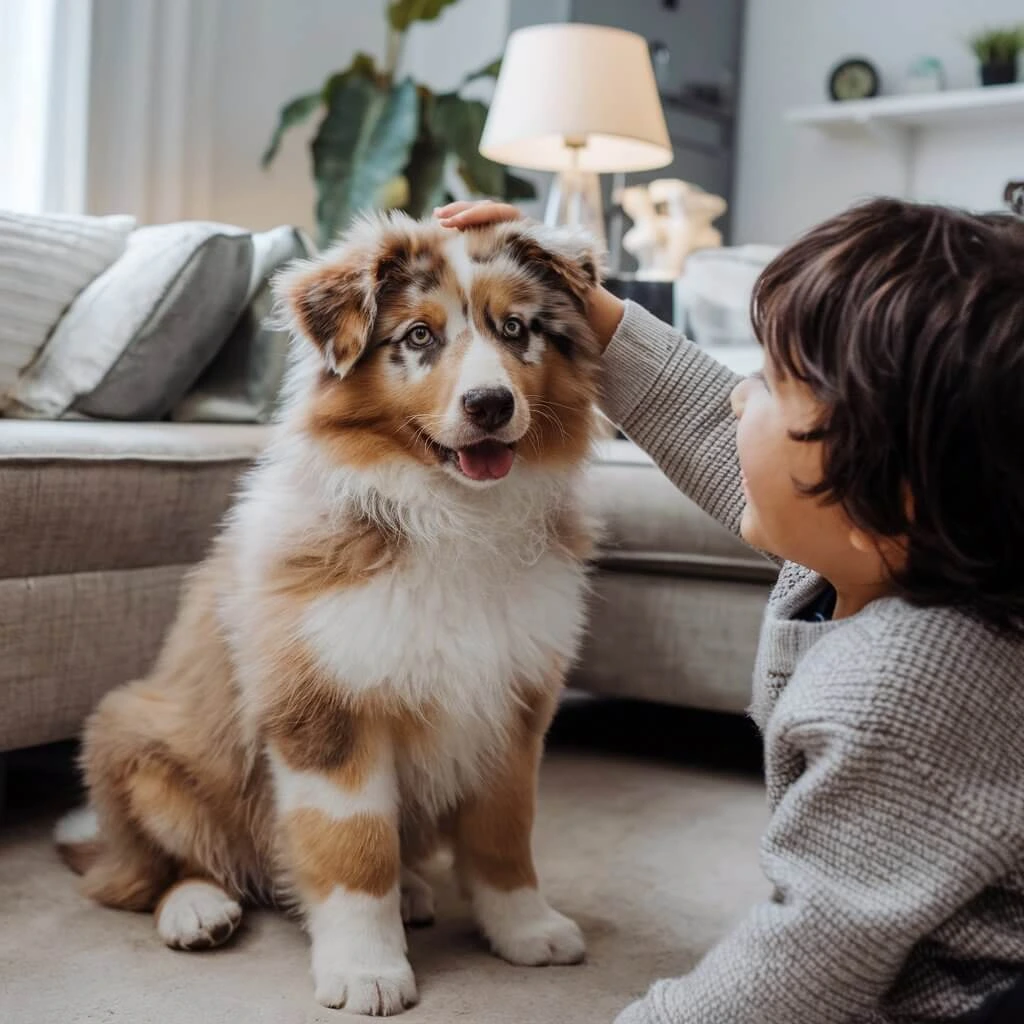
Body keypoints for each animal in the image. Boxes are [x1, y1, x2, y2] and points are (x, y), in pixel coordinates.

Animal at [54, 211, 598, 1011]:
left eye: (516, 328)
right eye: (418, 336)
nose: (491, 405)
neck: (450, 515)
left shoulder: (515, 702)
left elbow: (505, 832)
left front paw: (526, 929)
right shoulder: (326, 710)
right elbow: (353, 848)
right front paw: (367, 970)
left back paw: (412, 892)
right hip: (136, 745)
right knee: (147, 876)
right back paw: (198, 909)